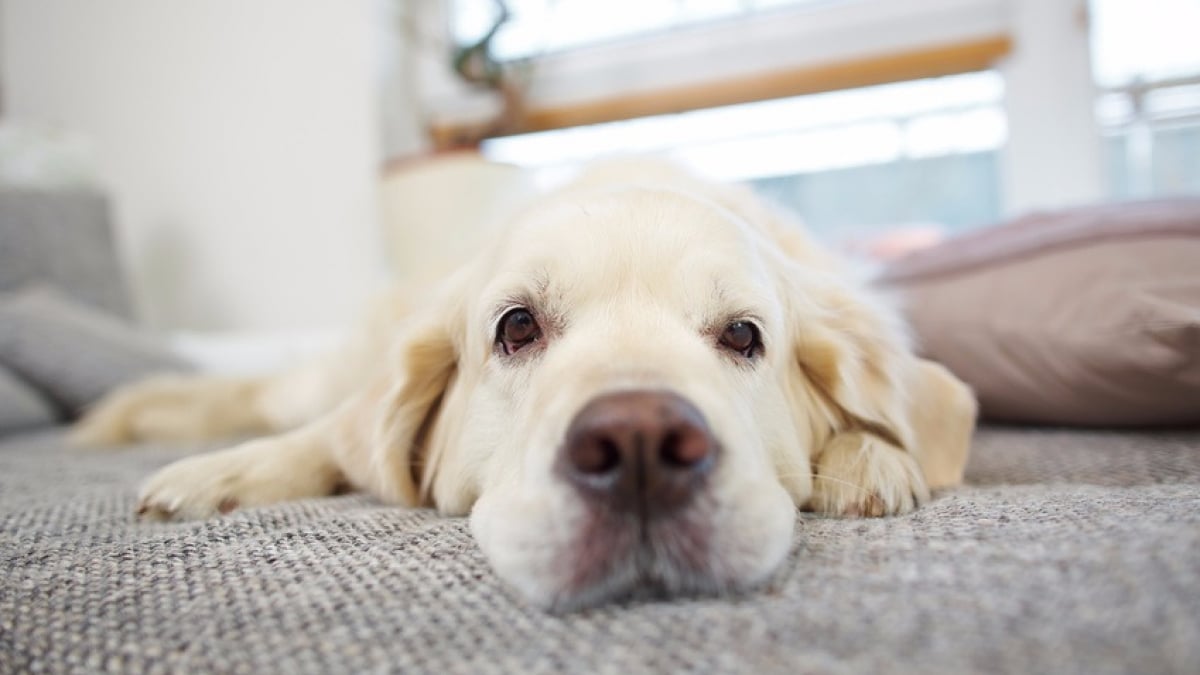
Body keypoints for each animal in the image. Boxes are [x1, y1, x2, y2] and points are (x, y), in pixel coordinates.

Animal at [72, 159, 974, 607]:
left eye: (742, 335)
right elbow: (332, 439)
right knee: (275, 398)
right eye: (515, 327)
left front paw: (874, 457)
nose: (640, 443)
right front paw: (223, 473)